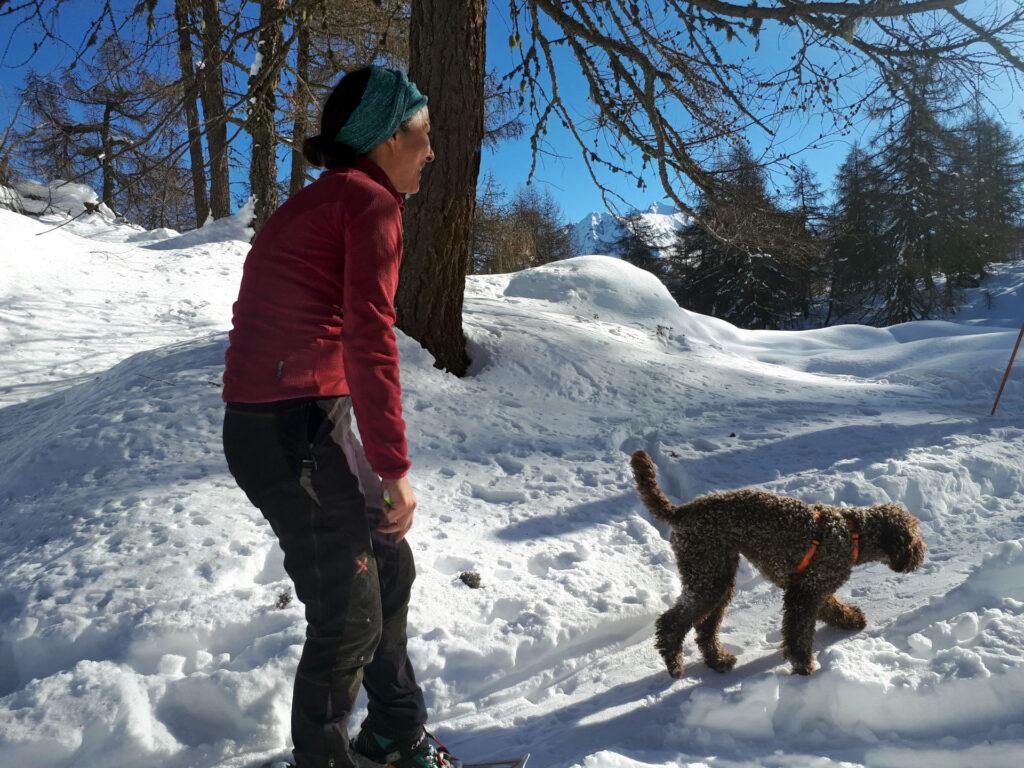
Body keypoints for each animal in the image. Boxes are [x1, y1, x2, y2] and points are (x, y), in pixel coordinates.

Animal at [630, 450, 929, 679]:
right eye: (914, 537)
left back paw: (718, 660)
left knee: (704, 628)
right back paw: (675, 665)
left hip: (719, 575)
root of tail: (682, 511)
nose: (920, 556)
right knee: (672, 623)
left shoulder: (814, 587)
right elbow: (798, 634)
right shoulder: (805, 593)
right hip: (708, 575)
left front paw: (851, 618)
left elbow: (832, 607)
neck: (853, 534)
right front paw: (803, 666)